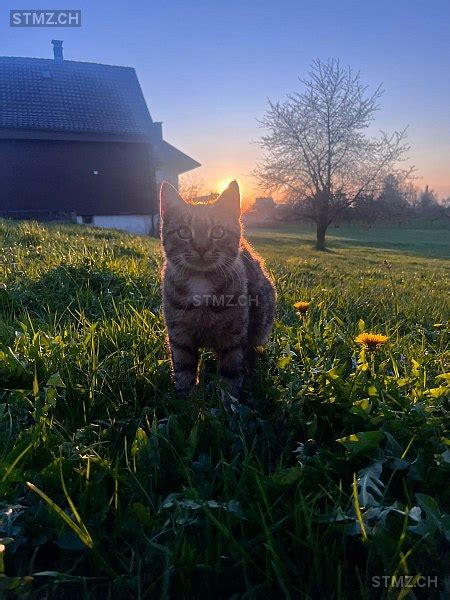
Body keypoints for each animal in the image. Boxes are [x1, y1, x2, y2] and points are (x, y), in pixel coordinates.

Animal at [160, 179, 276, 404]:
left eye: (218, 232)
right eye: (183, 232)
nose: (201, 248)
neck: (201, 282)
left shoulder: (234, 336)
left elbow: (230, 372)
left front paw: (228, 403)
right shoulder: (179, 334)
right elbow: (184, 368)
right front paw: (185, 401)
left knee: (250, 351)